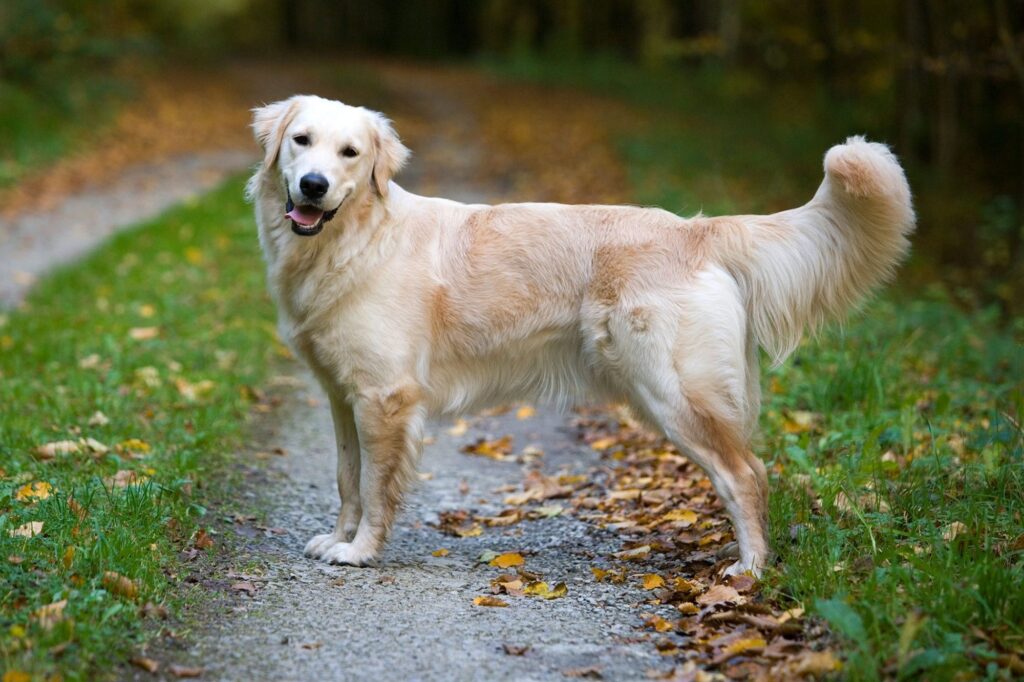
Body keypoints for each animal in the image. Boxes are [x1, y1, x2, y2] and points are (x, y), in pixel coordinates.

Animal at [245, 95, 913, 573]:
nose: (312, 186)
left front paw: (360, 552)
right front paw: (337, 538)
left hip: (674, 393)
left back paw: (749, 571)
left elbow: (376, 487)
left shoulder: (386, 399)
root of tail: (697, 229)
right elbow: (346, 479)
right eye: (301, 142)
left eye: (351, 153)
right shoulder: (343, 398)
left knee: (746, 474)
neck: (354, 239)